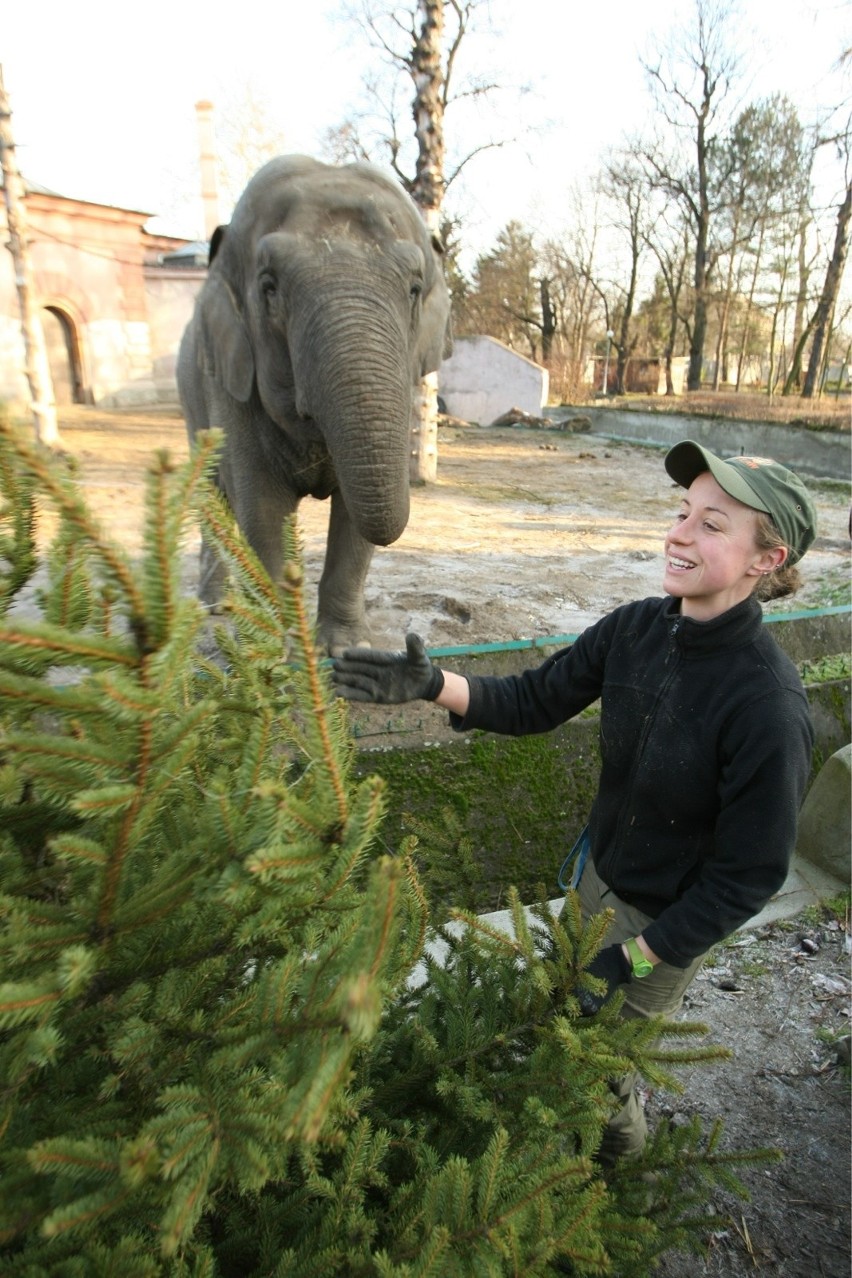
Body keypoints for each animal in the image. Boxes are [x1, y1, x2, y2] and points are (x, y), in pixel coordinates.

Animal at [178, 154, 452, 654]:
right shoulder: (231, 385)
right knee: (212, 494)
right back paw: (216, 607)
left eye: (414, 289)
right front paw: (278, 649)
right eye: (269, 287)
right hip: (191, 399)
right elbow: (262, 507)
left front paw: (346, 648)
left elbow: (352, 518)